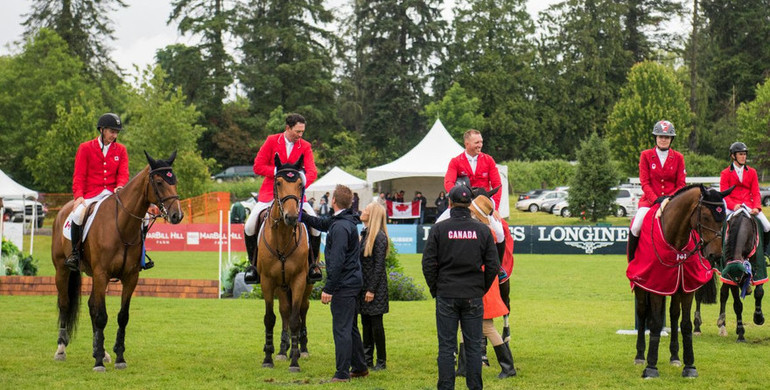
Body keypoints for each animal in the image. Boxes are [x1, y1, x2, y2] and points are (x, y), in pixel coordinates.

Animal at [51, 151, 183, 370]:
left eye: (175, 181)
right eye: (159, 182)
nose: (177, 216)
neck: (122, 224)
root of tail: (64, 209)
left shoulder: (130, 277)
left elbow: (122, 317)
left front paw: (119, 357)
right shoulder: (102, 273)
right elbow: (102, 316)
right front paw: (98, 363)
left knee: (91, 306)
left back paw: (101, 351)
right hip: (63, 269)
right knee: (65, 304)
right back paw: (61, 349)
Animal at [624, 184, 732, 380]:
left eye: (723, 219)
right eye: (705, 216)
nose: (715, 255)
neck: (676, 240)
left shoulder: (686, 288)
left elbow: (686, 325)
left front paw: (690, 366)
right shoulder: (656, 286)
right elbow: (655, 323)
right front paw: (651, 367)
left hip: (676, 287)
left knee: (674, 315)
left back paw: (675, 356)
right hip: (642, 286)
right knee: (642, 313)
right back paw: (640, 356)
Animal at [688, 207, 760, 342]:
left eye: (745, 274)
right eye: (737, 278)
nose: (747, 291)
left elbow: (759, 291)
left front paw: (758, 317)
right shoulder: (729, 277)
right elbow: (737, 305)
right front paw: (741, 333)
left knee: (723, 295)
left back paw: (722, 326)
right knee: (699, 294)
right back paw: (697, 327)